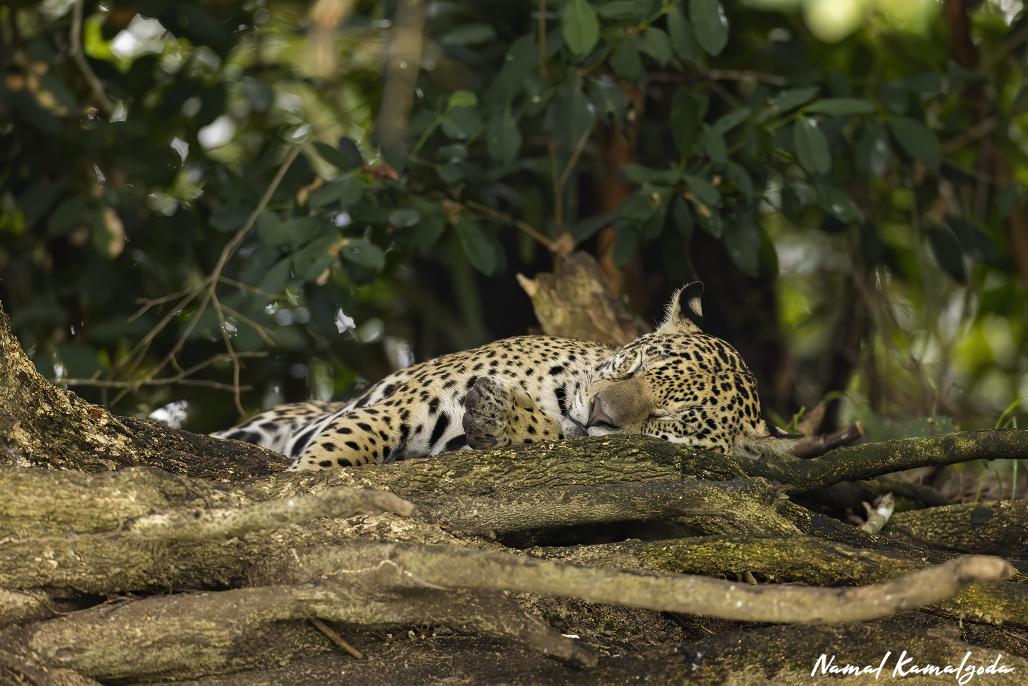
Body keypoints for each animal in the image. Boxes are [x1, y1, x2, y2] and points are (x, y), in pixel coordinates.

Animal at [213, 282, 797, 471]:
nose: (600, 412)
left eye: (666, 420)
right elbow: (349, 443)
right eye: (635, 365)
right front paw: (306, 482)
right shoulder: (400, 407)